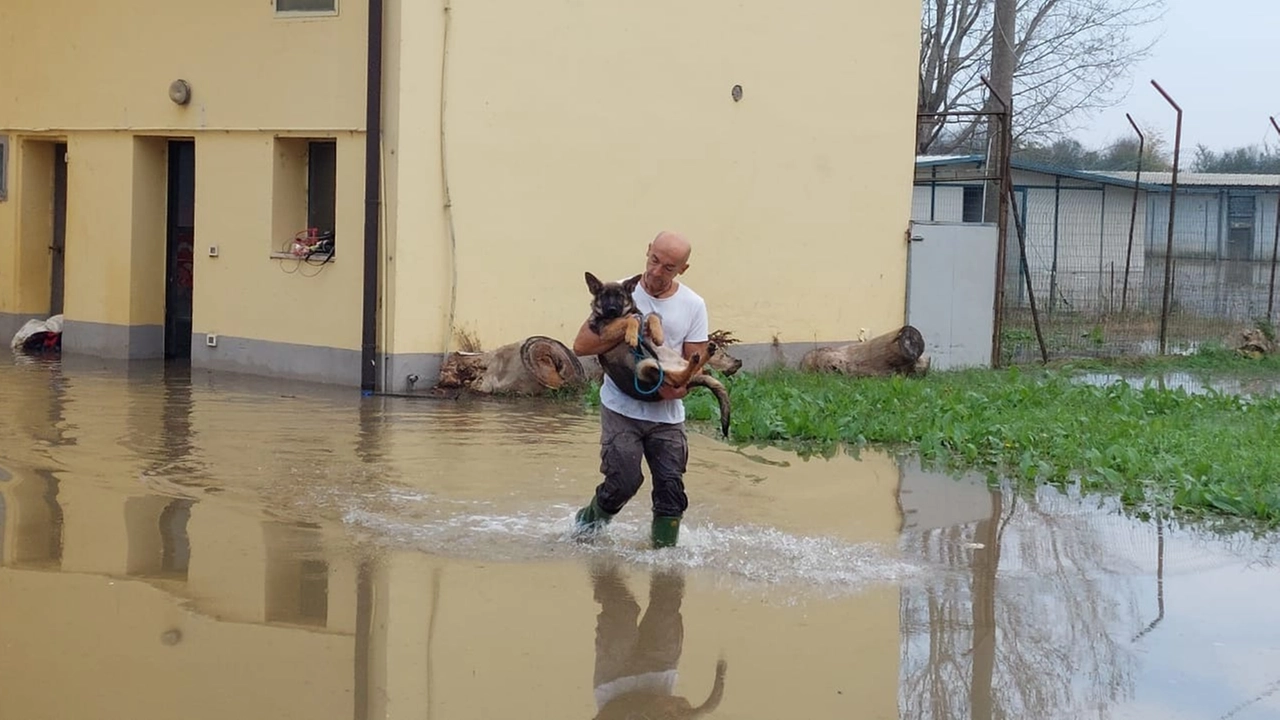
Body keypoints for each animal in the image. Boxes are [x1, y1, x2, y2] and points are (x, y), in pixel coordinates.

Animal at [586, 270, 737, 435]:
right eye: (604, 296)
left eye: (620, 296)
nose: (612, 310)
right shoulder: (606, 331)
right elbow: (630, 320)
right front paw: (631, 335)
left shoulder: (642, 317)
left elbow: (651, 315)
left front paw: (657, 334)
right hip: (646, 367)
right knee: (679, 379)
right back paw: (698, 359)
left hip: (668, 355)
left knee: (692, 372)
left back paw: (705, 354)